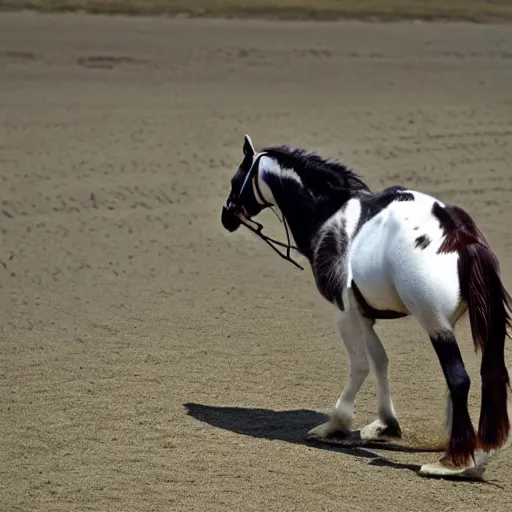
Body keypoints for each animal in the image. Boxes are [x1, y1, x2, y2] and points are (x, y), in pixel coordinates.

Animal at [221, 134, 512, 478]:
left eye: (235, 179)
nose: (226, 216)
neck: (331, 215)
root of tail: (462, 238)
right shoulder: (365, 315)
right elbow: (380, 361)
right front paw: (386, 425)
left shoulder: (345, 312)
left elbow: (360, 363)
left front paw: (335, 424)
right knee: (483, 376)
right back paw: (471, 453)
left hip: (435, 324)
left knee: (458, 379)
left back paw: (452, 462)